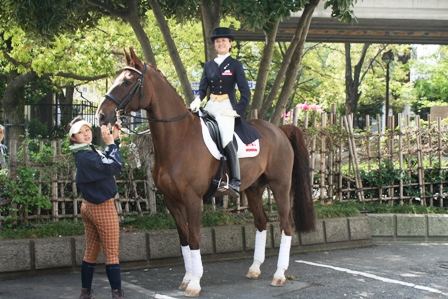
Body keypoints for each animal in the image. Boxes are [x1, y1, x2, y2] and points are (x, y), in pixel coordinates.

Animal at [97, 47, 316, 298]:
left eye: (127, 81)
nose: (101, 115)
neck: (180, 138)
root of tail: (280, 129)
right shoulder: (172, 201)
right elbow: (184, 238)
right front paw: (186, 279)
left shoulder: (193, 200)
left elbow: (194, 239)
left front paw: (194, 283)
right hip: (253, 189)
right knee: (261, 222)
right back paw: (254, 269)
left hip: (280, 185)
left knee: (286, 224)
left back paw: (279, 275)